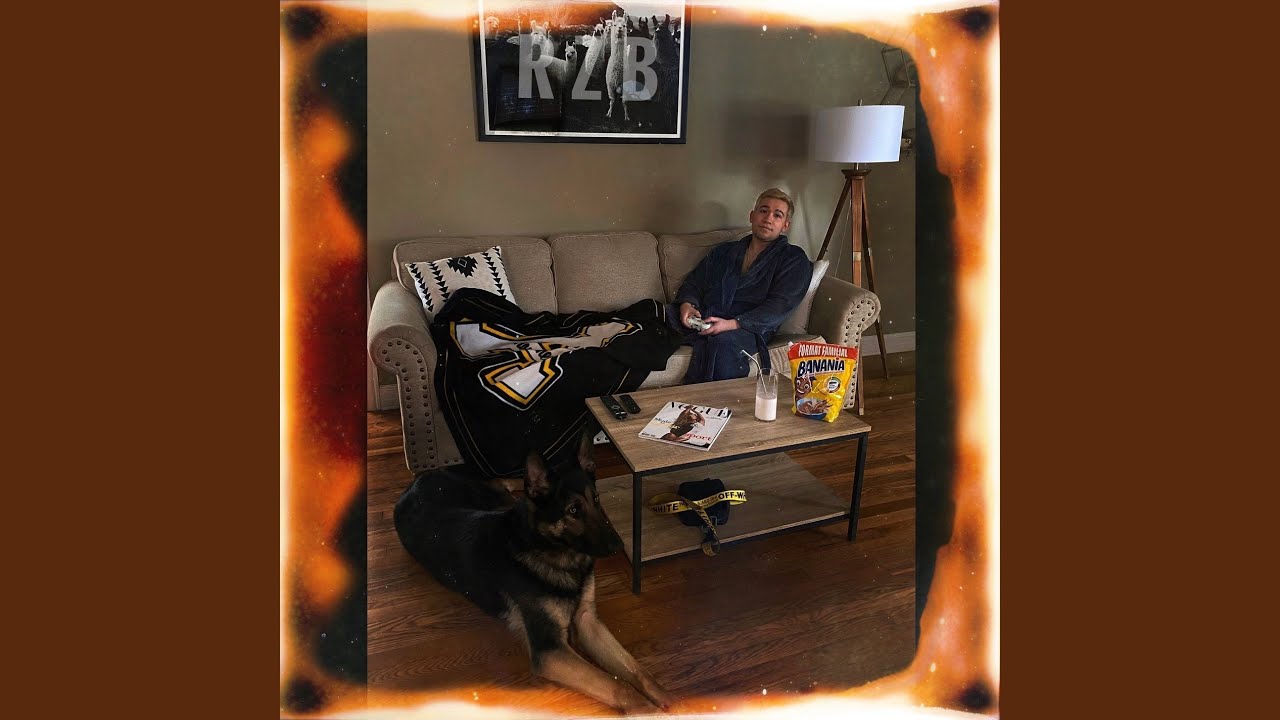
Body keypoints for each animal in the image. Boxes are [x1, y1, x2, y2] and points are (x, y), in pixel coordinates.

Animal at [394, 431, 673, 714]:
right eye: (573, 510)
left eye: (596, 499)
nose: (619, 546)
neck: (550, 552)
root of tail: (418, 480)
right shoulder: (550, 651)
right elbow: (617, 685)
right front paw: (647, 709)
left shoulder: (588, 621)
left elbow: (635, 669)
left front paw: (664, 695)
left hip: (494, 501)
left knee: (504, 485)